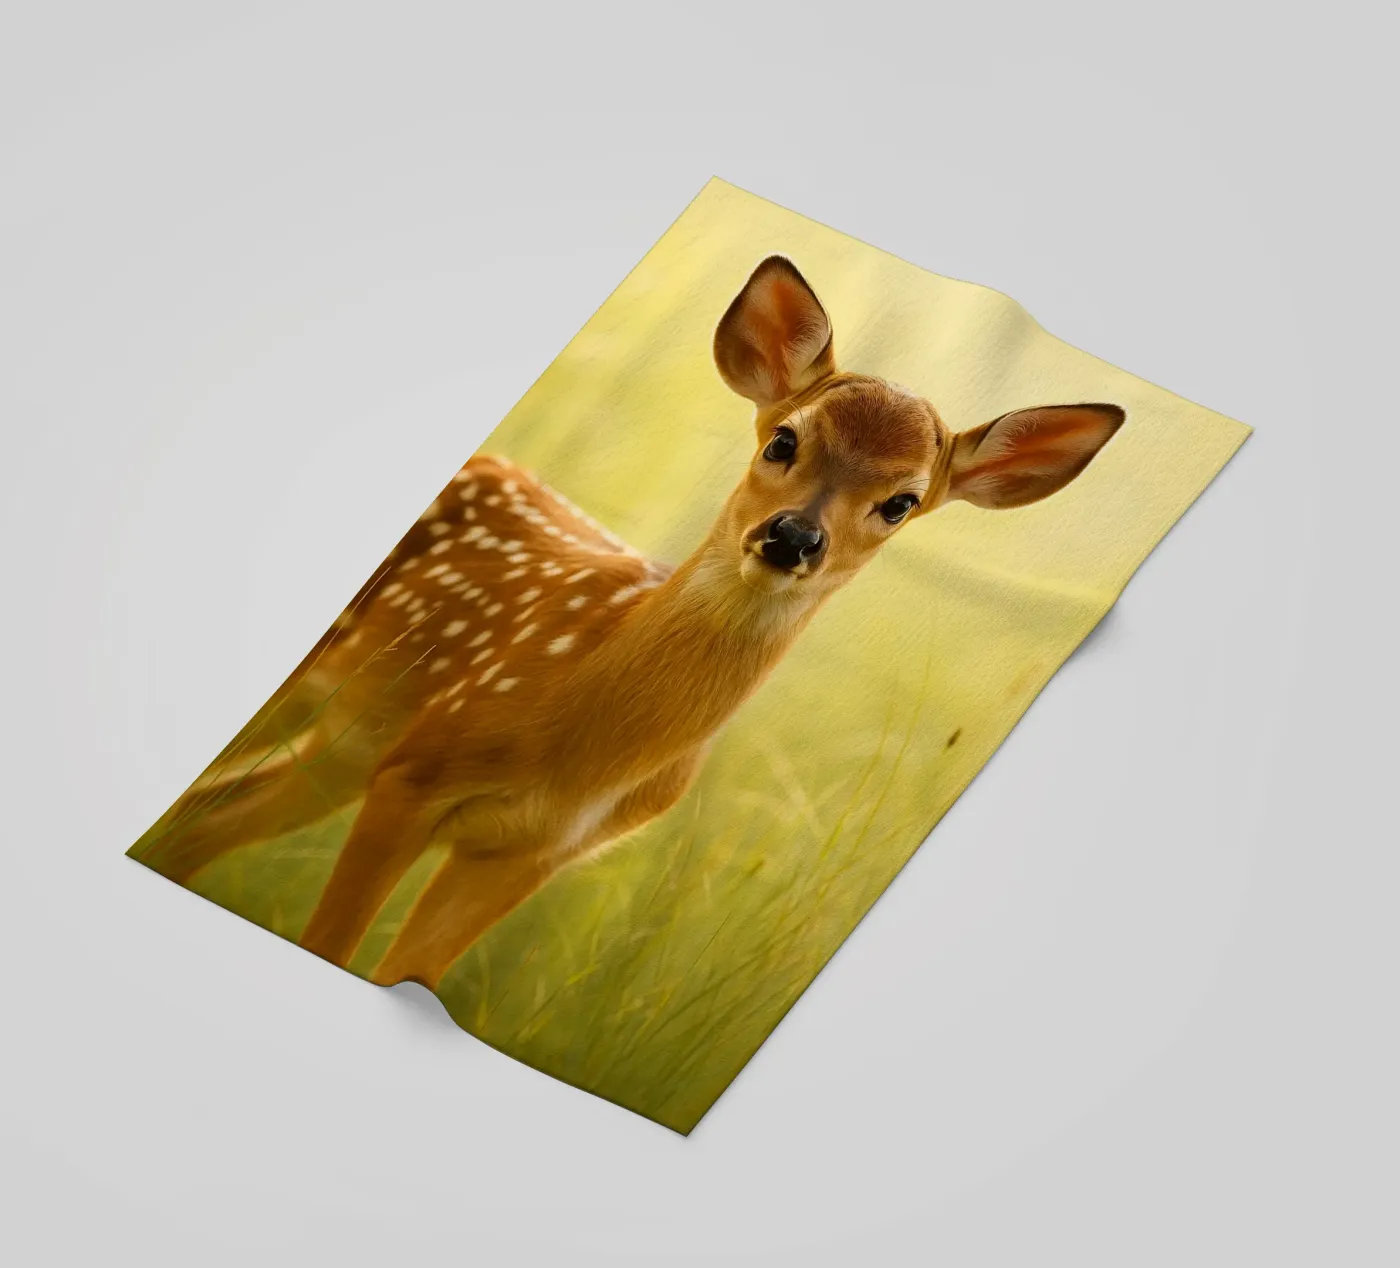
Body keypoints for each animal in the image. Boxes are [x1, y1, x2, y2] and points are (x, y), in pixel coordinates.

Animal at [135, 256, 1124, 990]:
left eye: (902, 501)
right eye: (785, 439)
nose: (792, 537)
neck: (583, 743)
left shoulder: (527, 853)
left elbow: (399, 971)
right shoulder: (416, 775)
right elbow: (330, 946)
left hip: (345, 748)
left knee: (205, 819)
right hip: (335, 703)